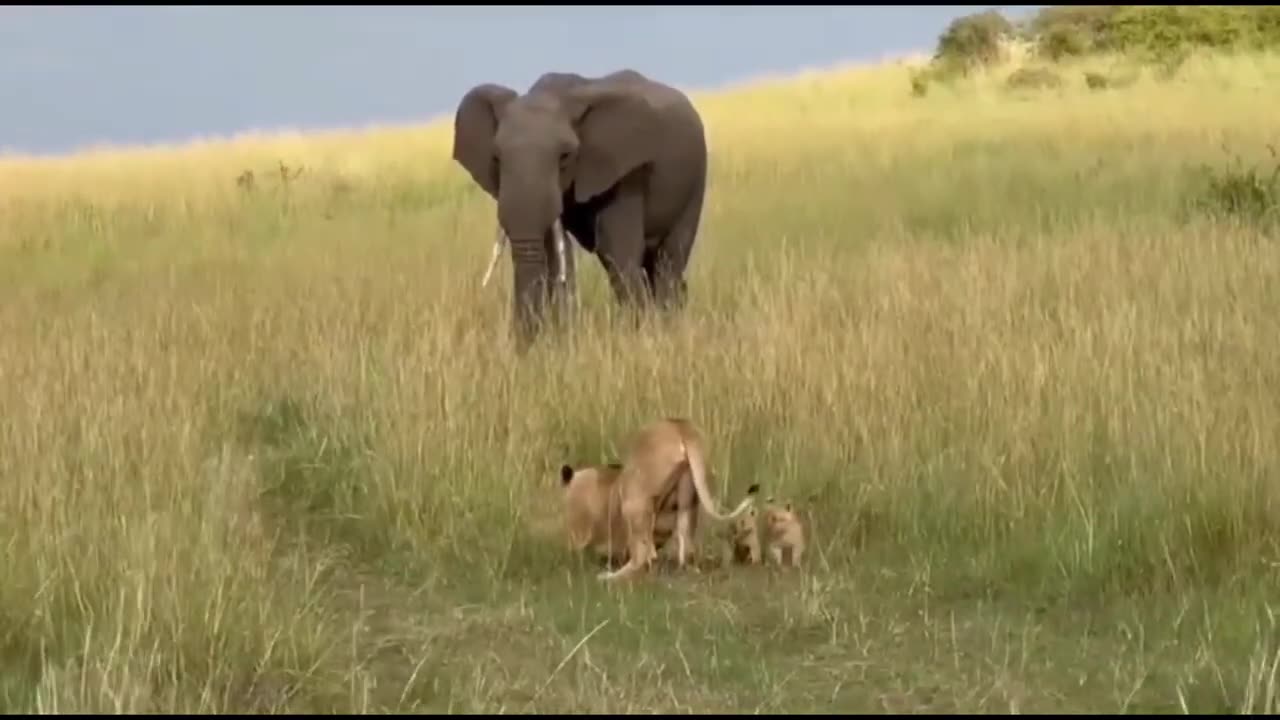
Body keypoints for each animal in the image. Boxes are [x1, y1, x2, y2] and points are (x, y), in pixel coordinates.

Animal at [450, 68, 711, 348]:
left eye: (565, 156)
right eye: (496, 158)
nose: (523, 347)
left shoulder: (624, 171)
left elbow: (615, 250)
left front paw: (640, 339)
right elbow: (554, 255)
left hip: (696, 178)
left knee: (669, 260)